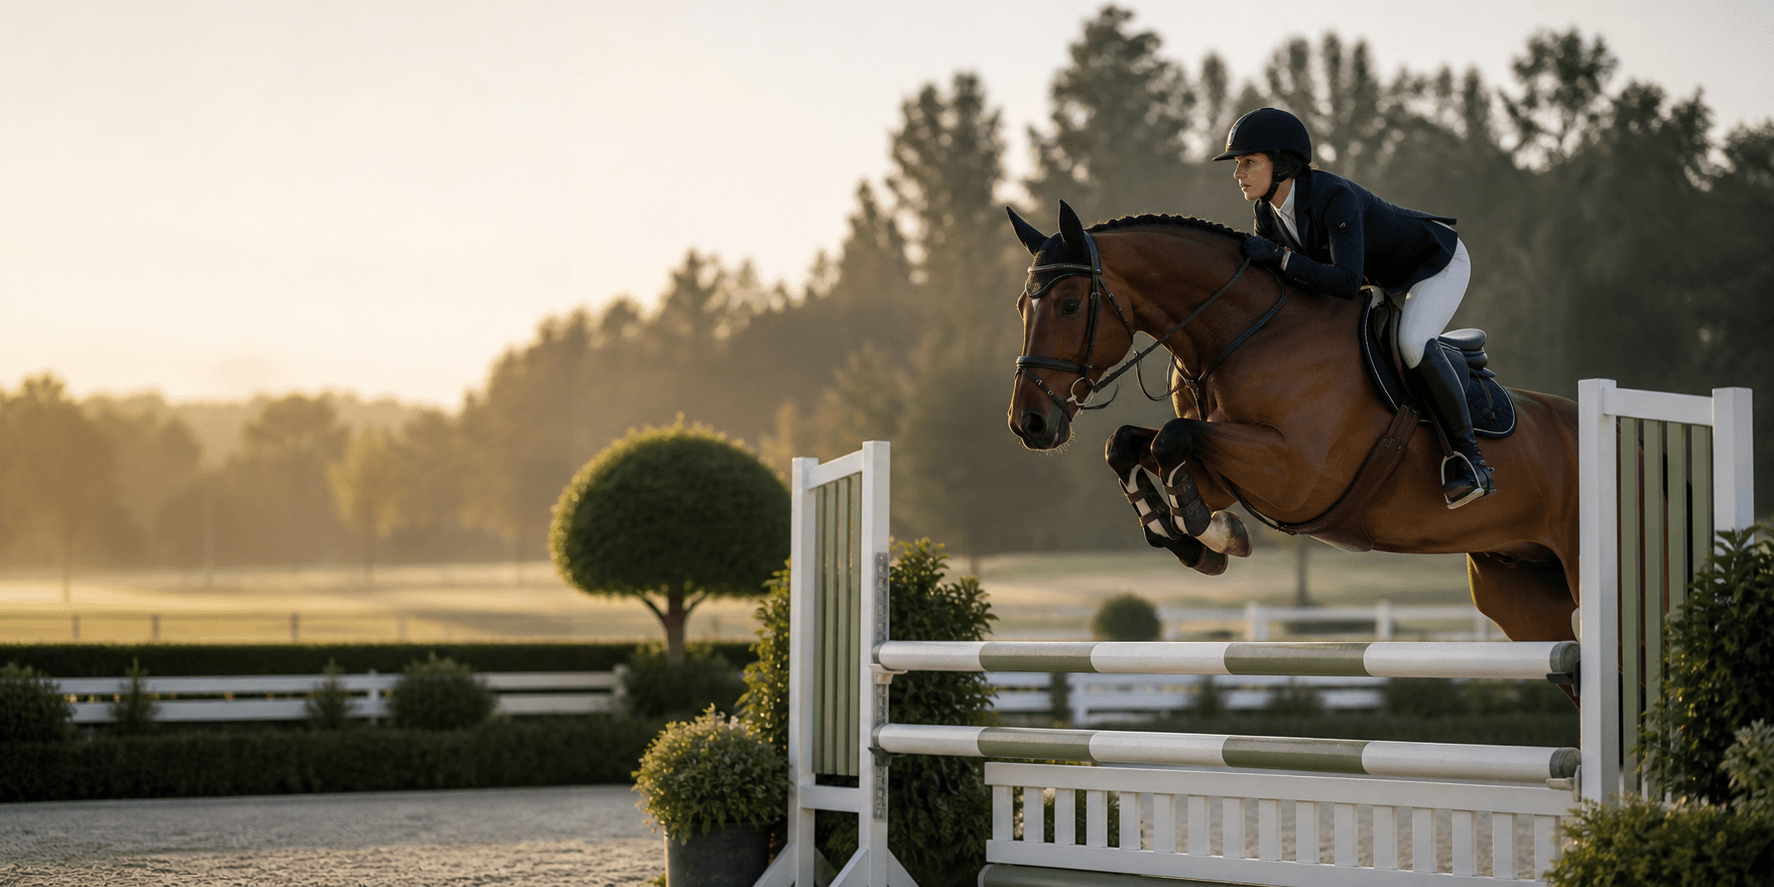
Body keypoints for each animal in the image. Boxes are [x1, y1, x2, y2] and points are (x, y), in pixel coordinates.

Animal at [1005, 201, 1581, 645]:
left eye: (1069, 304)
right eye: (1020, 308)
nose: (1027, 423)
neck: (1242, 332)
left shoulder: (1295, 473)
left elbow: (1172, 440)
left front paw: (1206, 531)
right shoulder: (1224, 470)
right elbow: (1127, 444)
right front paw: (1202, 538)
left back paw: (1468, 474)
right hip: (1518, 590)